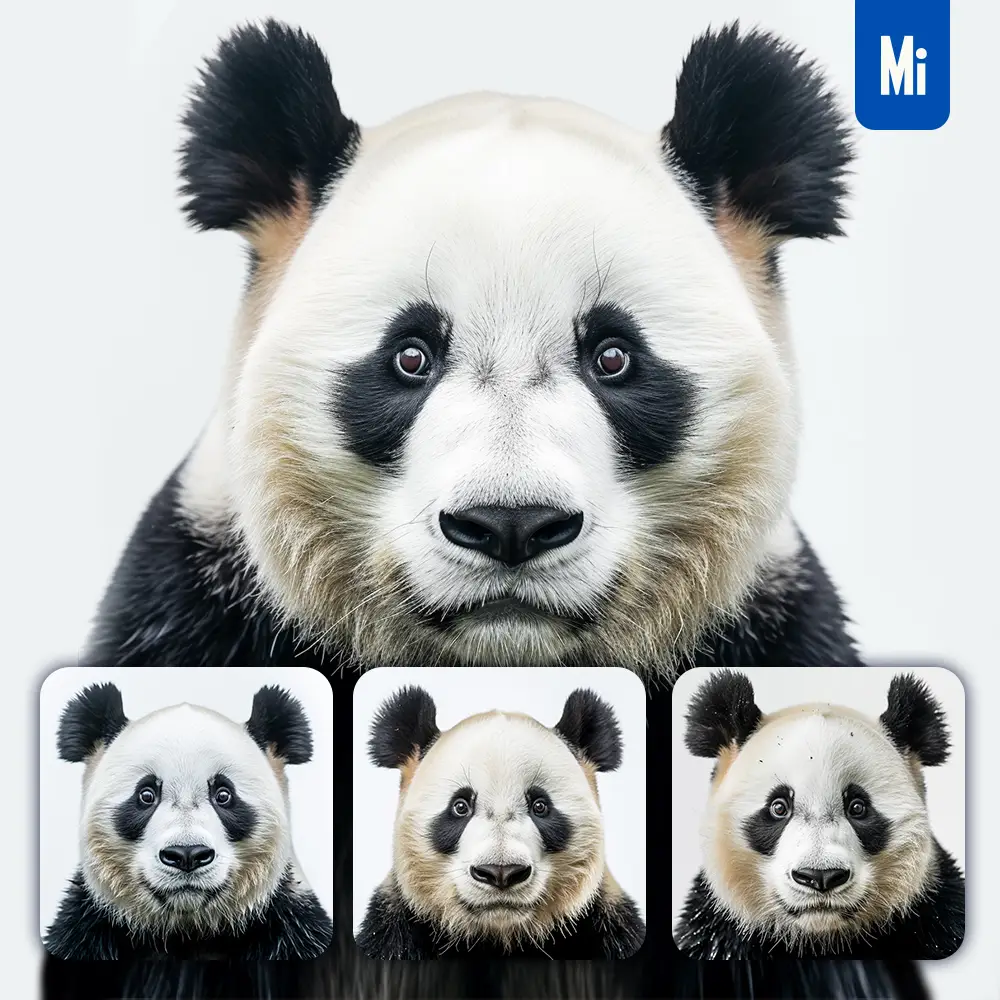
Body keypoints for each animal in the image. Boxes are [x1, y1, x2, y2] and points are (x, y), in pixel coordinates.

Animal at [44, 681, 333, 962]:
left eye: (224, 795)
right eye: (146, 795)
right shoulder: (85, 930)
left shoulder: (292, 926)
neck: (187, 932)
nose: (187, 855)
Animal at [356, 686, 644, 960]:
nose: (501, 873)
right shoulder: (393, 931)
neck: (500, 936)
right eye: (460, 807)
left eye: (540, 806)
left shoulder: (609, 927)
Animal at [675, 670, 965, 960]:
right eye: (778, 807)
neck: (820, 938)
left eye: (857, 807)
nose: (820, 877)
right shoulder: (717, 929)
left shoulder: (935, 913)